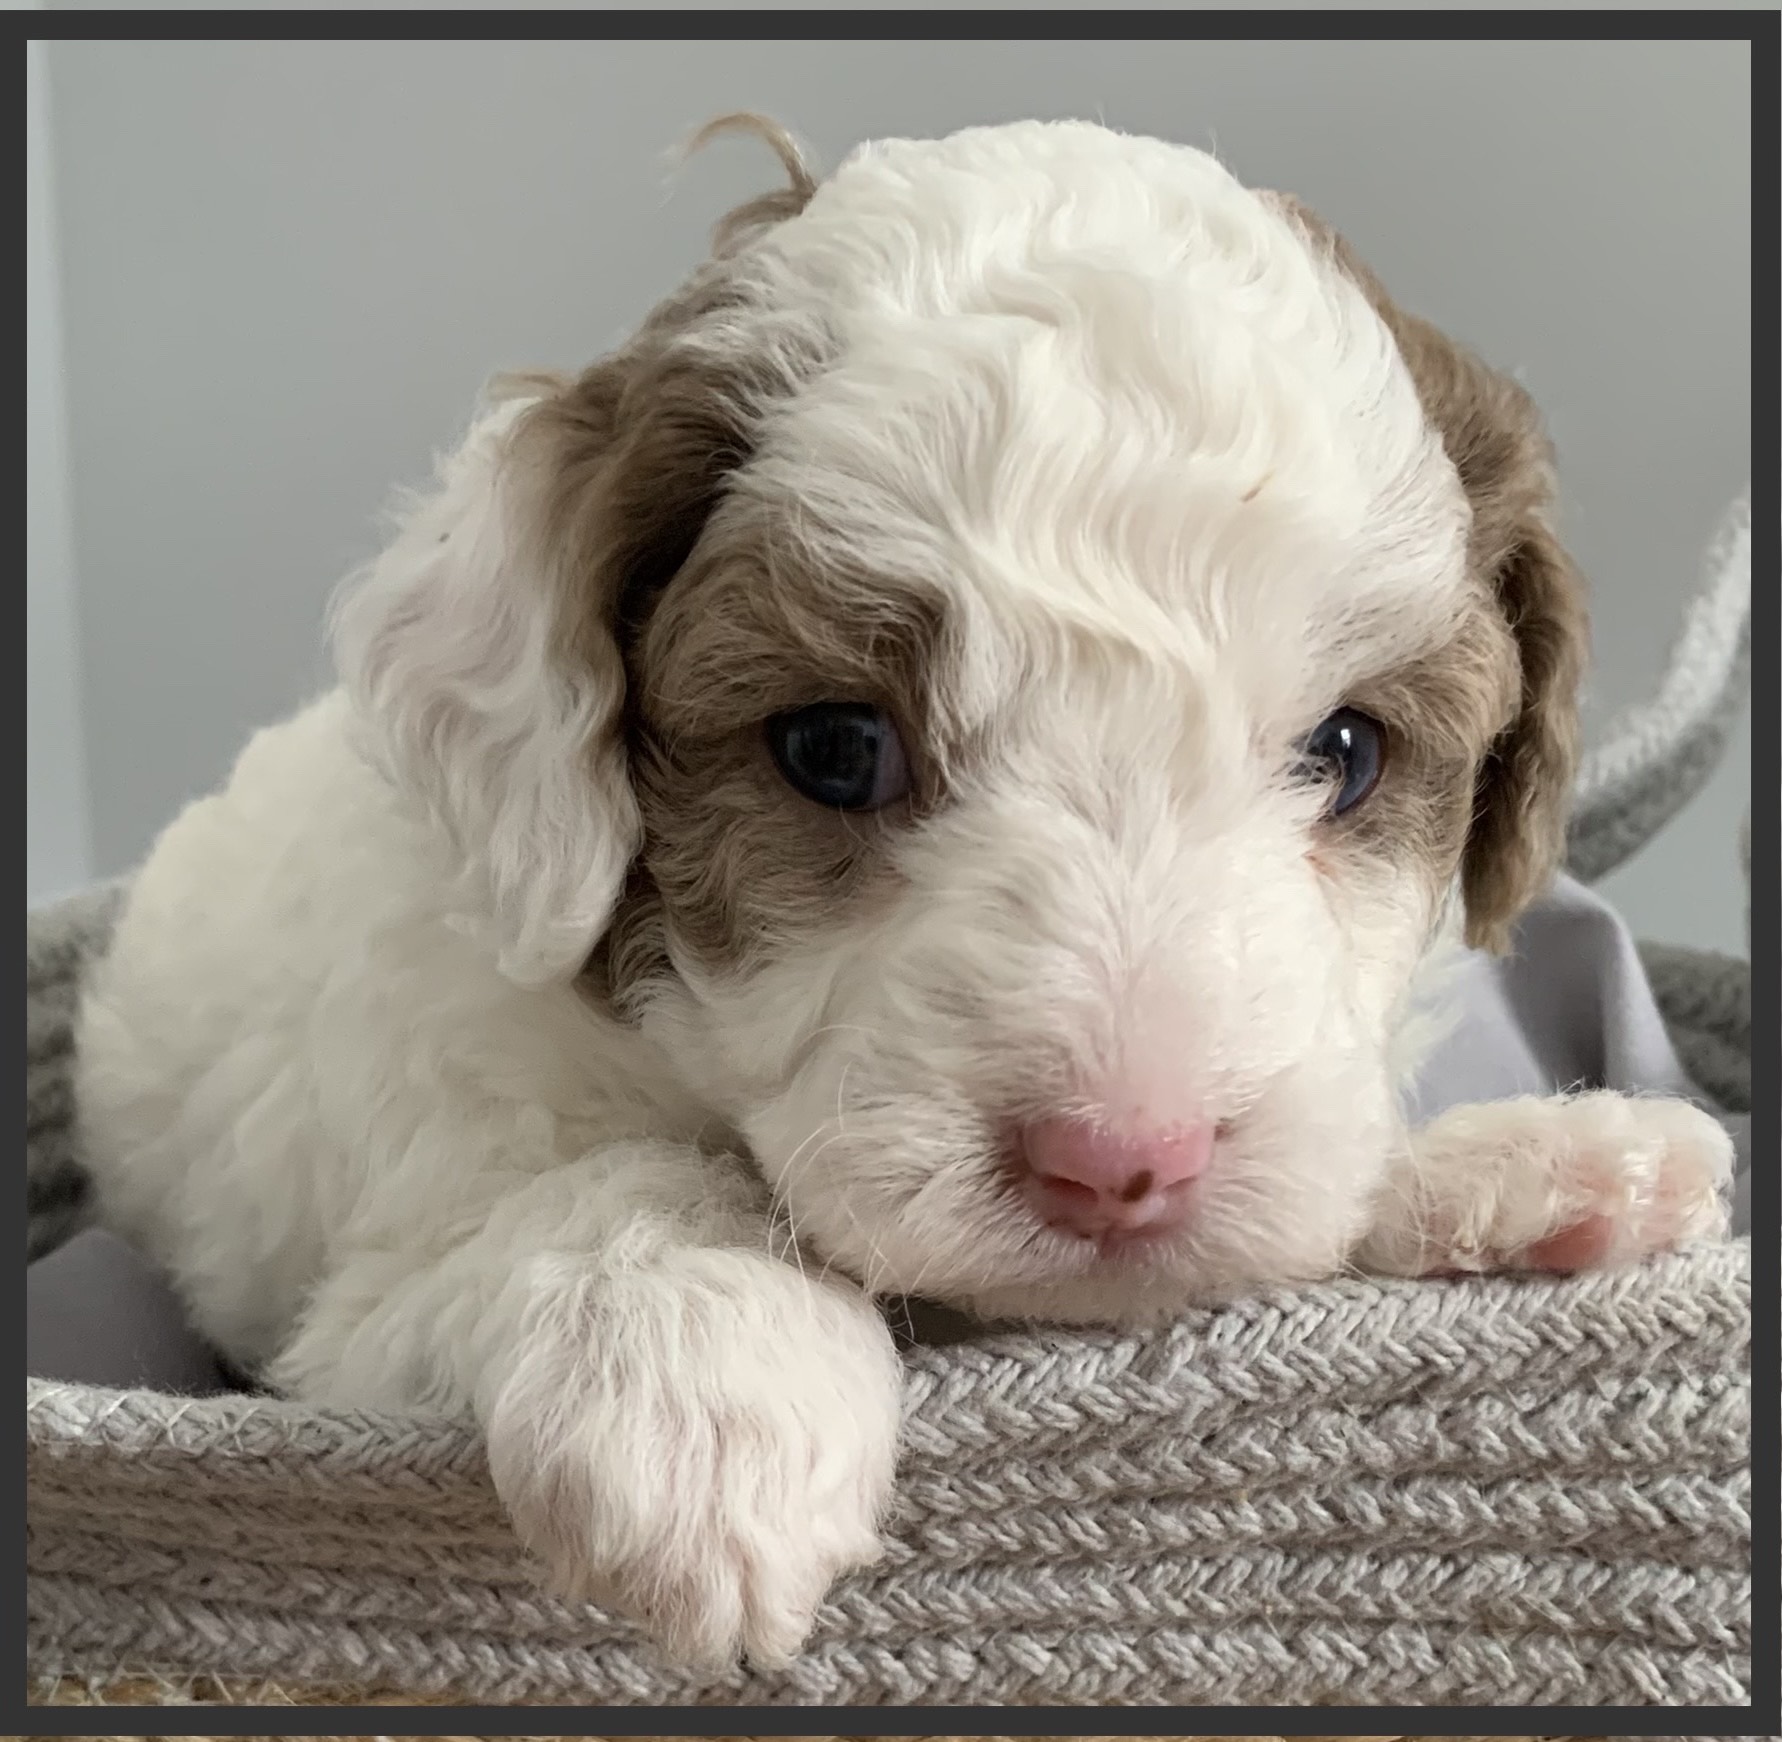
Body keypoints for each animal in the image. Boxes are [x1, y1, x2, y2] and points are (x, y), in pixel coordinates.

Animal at [76, 115, 1732, 1667]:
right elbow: (622, 1184)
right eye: (834, 748)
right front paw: (707, 1381)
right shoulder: (340, 1334)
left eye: (1345, 750)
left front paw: (1528, 1167)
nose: (1121, 1162)